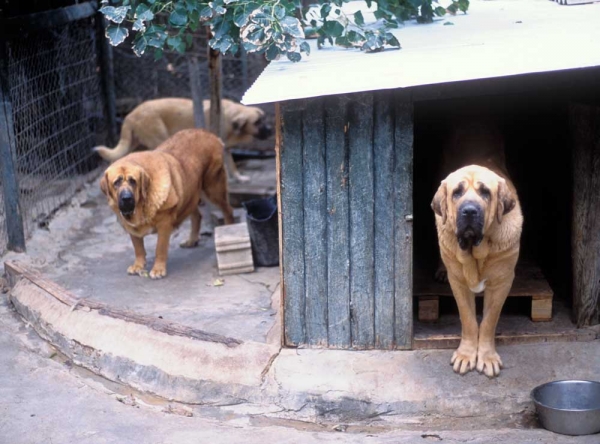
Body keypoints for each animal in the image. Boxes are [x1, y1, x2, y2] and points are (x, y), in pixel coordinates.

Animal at [94, 98, 272, 183]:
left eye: (263, 119)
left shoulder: (225, 148)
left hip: (132, 144)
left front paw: (239, 178)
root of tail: (130, 115)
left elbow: (233, 165)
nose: (270, 130)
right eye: (258, 122)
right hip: (160, 139)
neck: (229, 118)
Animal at [99, 128, 233, 280]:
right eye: (116, 183)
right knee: (197, 216)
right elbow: (138, 248)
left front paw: (158, 269)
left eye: (133, 181)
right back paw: (191, 240)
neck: (142, 206)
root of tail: (209, 134)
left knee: (228, 210)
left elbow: (160, 249)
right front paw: (138, 265)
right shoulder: (132, 228)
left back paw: (228, 228)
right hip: (190, 193)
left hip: (213, 189)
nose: (127, 198)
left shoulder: (164, 225)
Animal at [428, 123, 524, 376]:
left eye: (485, 193)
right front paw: (466, 354)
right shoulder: (458, 282)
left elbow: (489, 321)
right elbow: (469, 320)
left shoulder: (501, 281)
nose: (470, 211)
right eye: (457, 192)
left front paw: (487, 357)